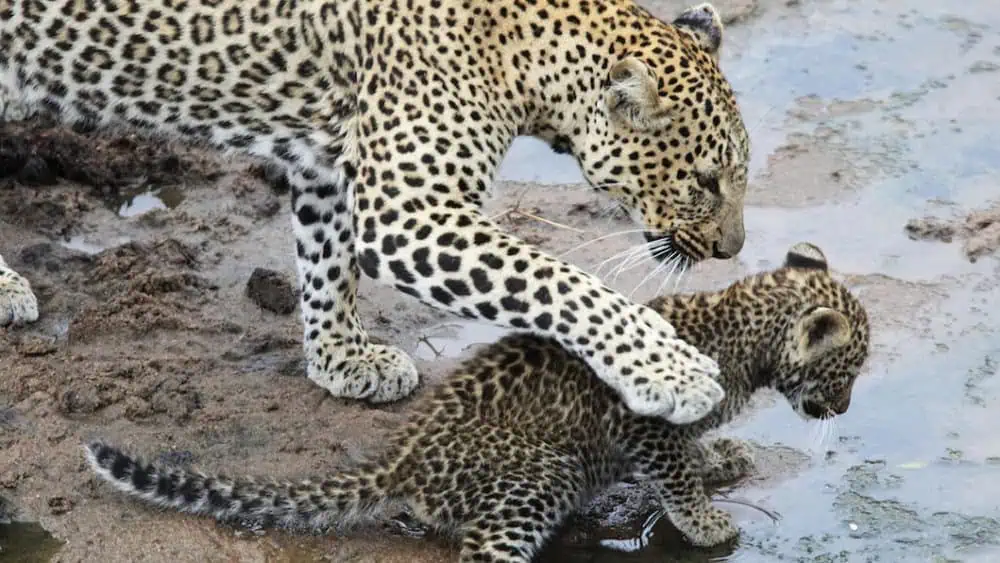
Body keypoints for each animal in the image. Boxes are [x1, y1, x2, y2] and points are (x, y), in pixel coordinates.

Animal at [86, 242, 871, 563]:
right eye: (853, 368)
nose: (843, 411)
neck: (745, 338)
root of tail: (403, 457)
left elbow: (693, 451)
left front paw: (721, 456)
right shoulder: (639, 422)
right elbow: (673, 472)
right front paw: (707, 521)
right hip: (541, 471)